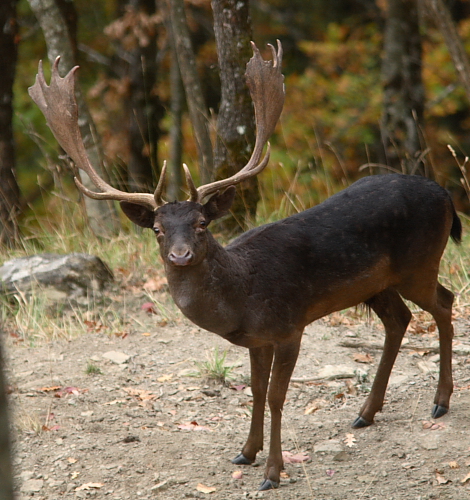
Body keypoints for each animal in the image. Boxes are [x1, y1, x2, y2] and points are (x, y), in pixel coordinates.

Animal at [27, 41, 460, 490]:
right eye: (158, 230)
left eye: (201, 224)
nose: (180, 255)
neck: (242, 298)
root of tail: (446, 195)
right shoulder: (257, 339)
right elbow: (254, 390)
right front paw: (245, 452)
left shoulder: (289, 325)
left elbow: (276, 396)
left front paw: (272, 472)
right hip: (378, 284)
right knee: (400, 319)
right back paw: (366, 413)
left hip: (420, 262)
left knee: (444, 302)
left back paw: (440, 402)